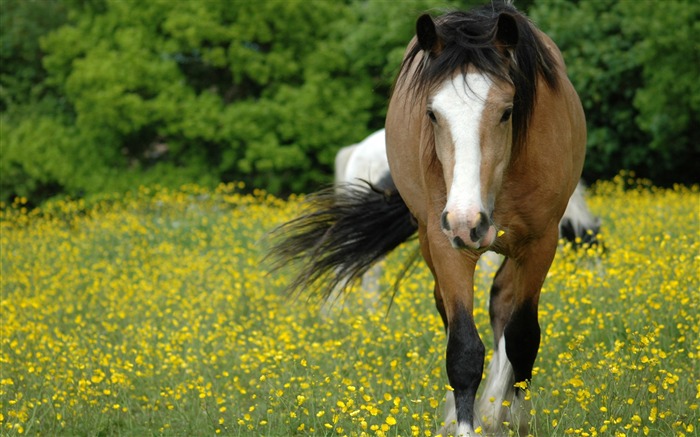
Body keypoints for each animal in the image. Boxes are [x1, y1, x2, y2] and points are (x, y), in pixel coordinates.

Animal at [270, 2, 588, 432]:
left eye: (507, 112)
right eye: (433, 114)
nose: (468, 221)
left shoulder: (540, 243)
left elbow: (522, 338)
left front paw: (512, 420)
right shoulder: (447, 244)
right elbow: (463, 350)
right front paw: (466, 424)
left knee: (503, 306)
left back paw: (496, 409)